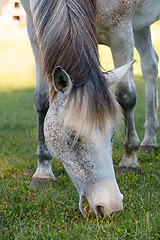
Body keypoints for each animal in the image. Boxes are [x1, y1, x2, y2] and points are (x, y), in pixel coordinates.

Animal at [20, 0, 160, 218]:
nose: (111, 207)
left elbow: (126, 96)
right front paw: (43, 172)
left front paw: (129, 161)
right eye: (72, 137)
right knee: (150, 65)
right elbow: (42, 101)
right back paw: (150, 141)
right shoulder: (33, 30)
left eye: (113, 133)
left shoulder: (121, 31)